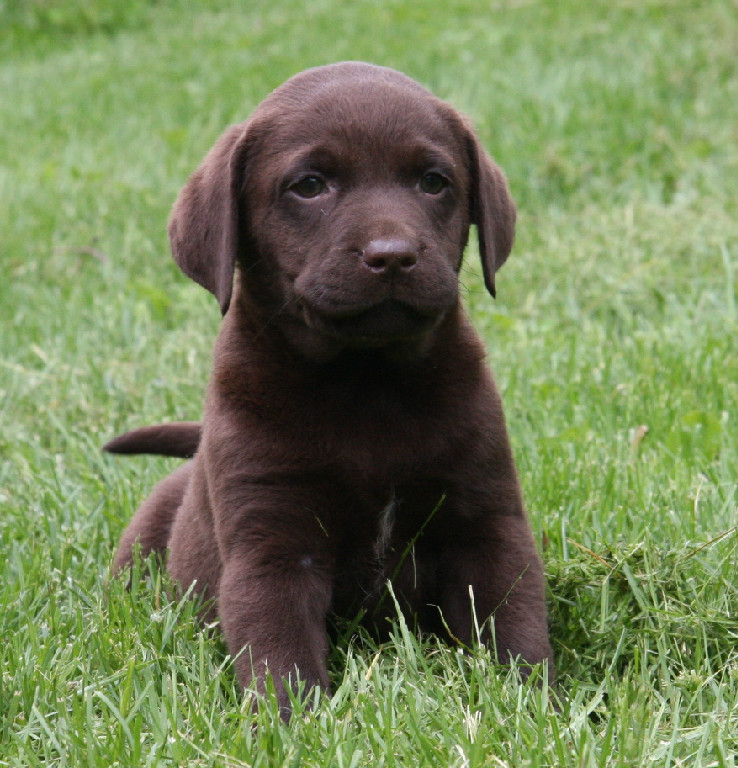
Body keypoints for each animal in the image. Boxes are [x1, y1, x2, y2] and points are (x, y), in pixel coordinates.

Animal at [106, 61, 548, 712]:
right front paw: (291, 724)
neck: (368, 383)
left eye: (433, 181)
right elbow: (280, 654)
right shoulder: (272, 547)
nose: (392, 255)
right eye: (309, 186)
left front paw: (539, 708)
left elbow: (515, 626)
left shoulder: (487, 522)